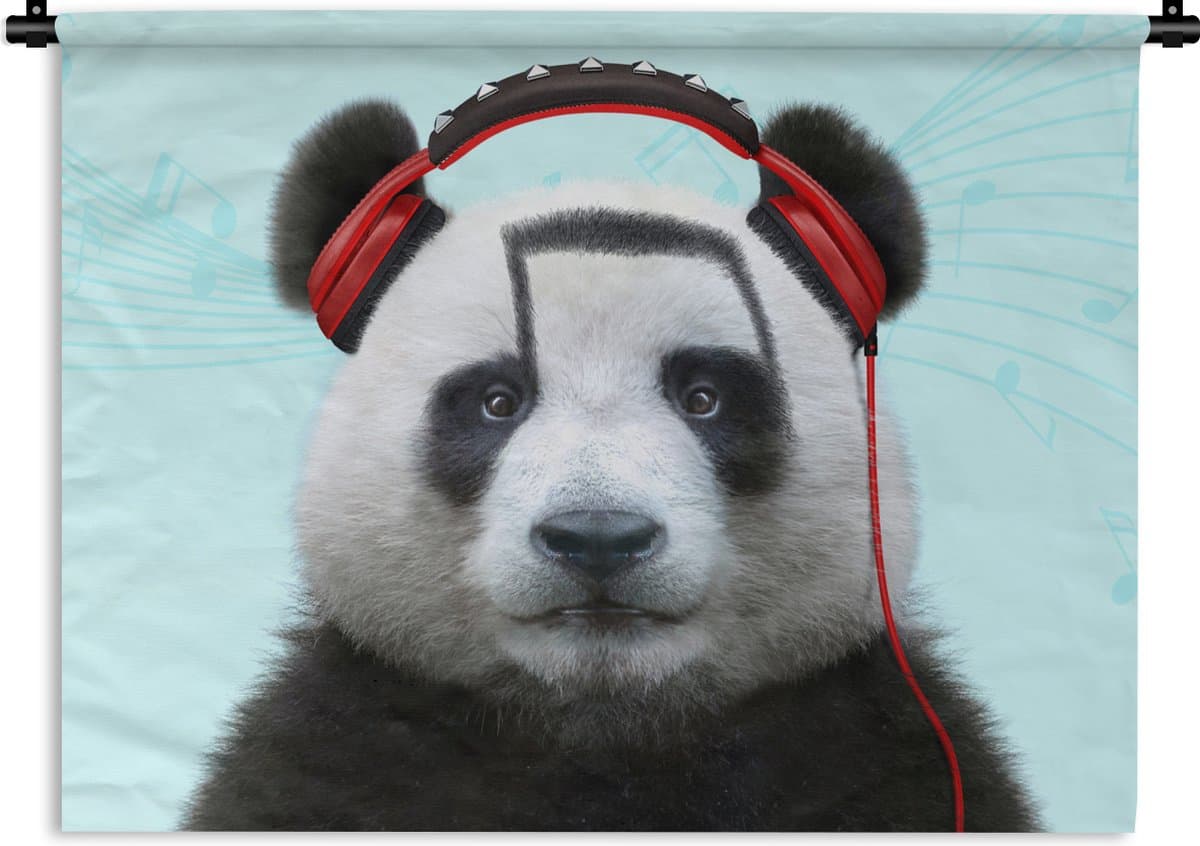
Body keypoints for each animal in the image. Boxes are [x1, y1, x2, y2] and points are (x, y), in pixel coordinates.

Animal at [183, 96, 1041, 832]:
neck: (608, 726)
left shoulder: (885, 751)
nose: (599, 538)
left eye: (704, 397)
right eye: (498, 400)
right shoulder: (339, 749)